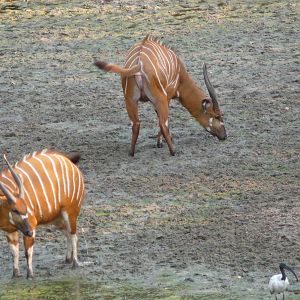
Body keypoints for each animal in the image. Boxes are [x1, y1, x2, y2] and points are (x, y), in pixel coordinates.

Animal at [0, 150, 85, 278]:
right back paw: (67, 260)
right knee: (68, 235)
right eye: (14, 210)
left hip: (70, 213)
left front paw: (30, 275)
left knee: (74, 235)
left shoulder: (32, 224)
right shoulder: (10, 230)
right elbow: (14, 252)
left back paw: (75, 263)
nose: (29, 231)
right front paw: (15, 275)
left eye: (26, 208)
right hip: (57, 220)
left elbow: (28, 252)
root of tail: (69, 161)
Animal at [95, 35, 226, 157]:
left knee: (136, 124)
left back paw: (131, 152)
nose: (224, 135)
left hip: (130, 100)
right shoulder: (167, 97)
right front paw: (160, 142)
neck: (180, 75)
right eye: (217, 116)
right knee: (163, 124)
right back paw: (173, 151)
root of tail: (138, 63)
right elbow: (161, 121)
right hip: (160, 99)